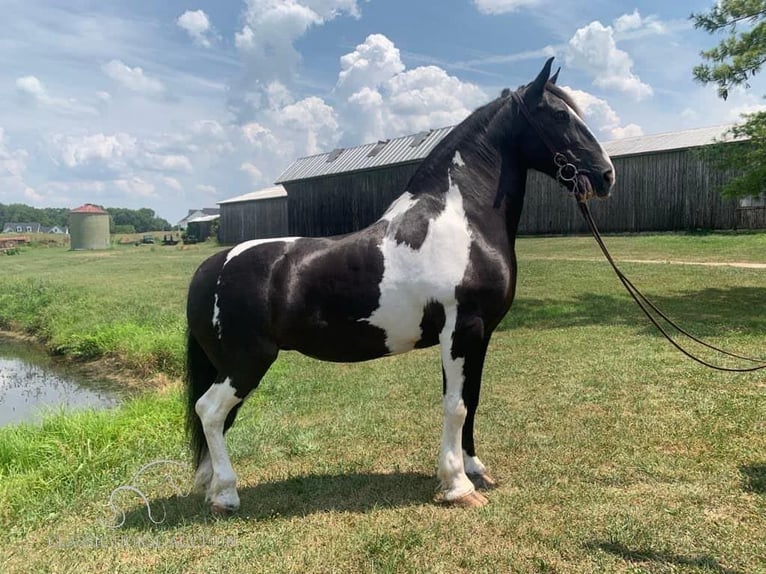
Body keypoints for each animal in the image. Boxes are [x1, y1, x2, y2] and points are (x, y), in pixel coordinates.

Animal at [186, 58, 616, 516]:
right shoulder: (461, 332)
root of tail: (213, 266)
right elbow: (456, 406)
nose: (606, 175)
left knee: (215, 419)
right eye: (559, 116)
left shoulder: (478, 336)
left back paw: (212, 488)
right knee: (210, 411)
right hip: (246, 362)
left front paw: (475, 468)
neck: (462, 220)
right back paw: (226, 494)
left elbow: (472, 399)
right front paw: (458, 485)